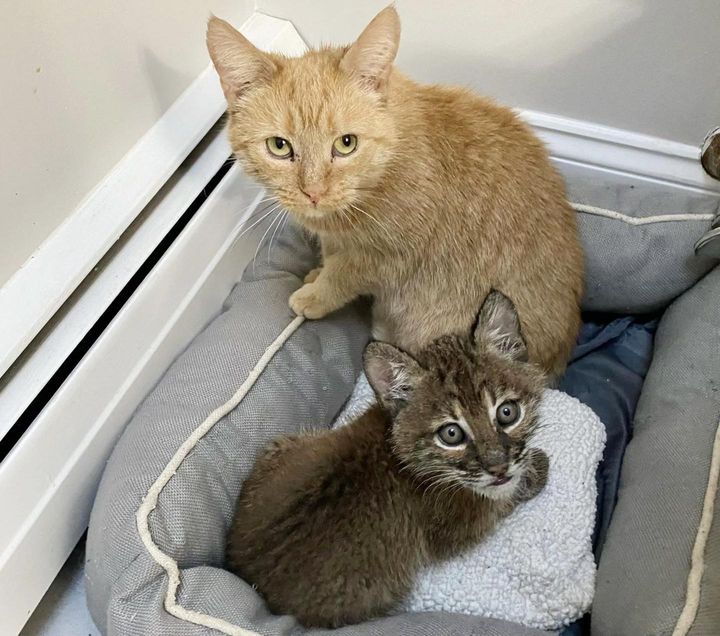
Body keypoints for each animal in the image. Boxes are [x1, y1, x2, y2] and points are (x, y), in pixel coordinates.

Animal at [205, 6, 584, 378]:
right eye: (279, 146)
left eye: (346, 143)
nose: (313, 191)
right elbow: (332, 255)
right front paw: (316, 272)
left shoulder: (388, 258)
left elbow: (343, 275)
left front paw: (314, 294)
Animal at [228, 290, 548, 628]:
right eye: (451, 434)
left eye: (507, 412)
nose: (498, 466)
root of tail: (250, 578)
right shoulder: (465, 524)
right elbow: (502, 496)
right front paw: (535, 467)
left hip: (280, 445)